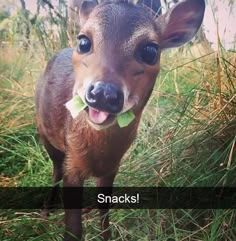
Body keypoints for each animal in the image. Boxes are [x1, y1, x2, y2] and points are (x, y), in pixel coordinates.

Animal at [35, 0, 205, 240]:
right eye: (83, 41)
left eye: (151, 51)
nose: (103, 93)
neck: (99, 153)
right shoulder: (72, 164)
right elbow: (74, 230)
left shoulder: (112, 168)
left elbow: (105, 213)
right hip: (45, 134)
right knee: (55, 171)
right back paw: (45, 213)